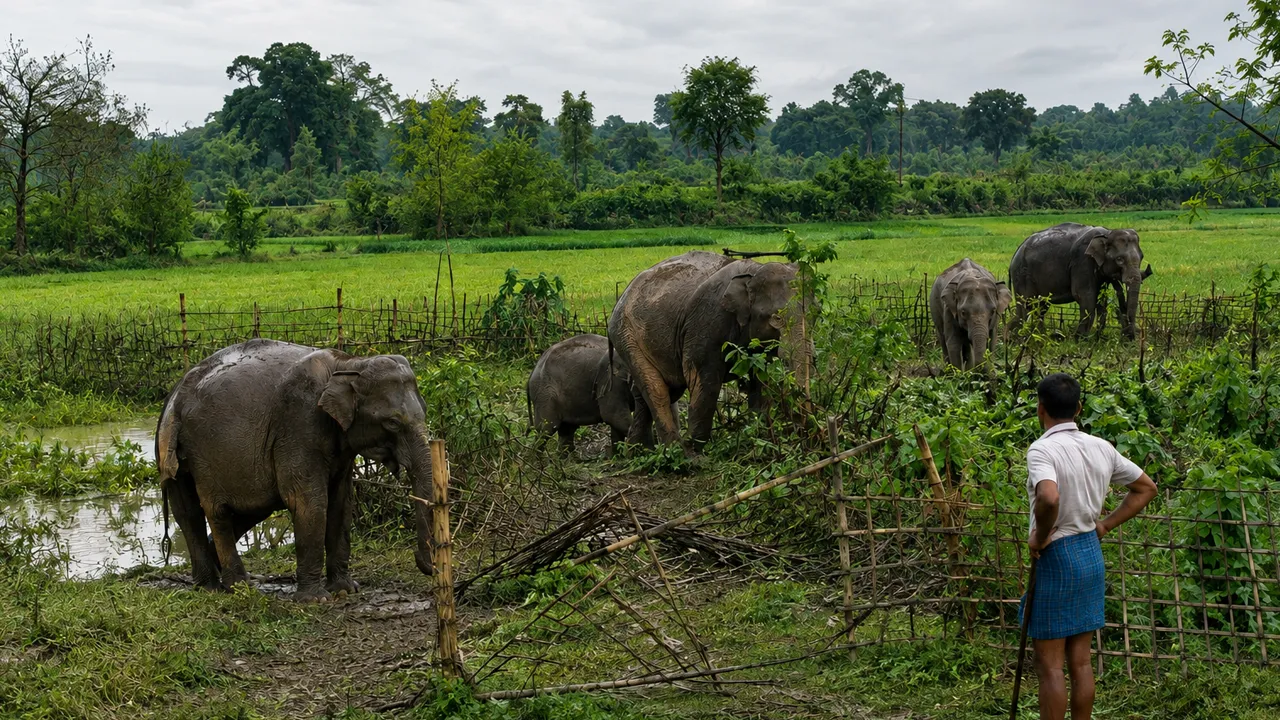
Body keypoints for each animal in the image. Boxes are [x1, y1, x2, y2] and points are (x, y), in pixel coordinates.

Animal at [155, 338, 434, 602]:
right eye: (393, 422)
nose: (422, 562)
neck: (349, 364)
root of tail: (174, 395)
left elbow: (341, 503)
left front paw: (346, 590)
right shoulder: (298, 423)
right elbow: (308, 502)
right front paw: (315, 600)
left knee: (205, 512)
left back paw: (209, 585)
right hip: (202, 451)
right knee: (217, 511)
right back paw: (236, 587)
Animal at [607, 250, 812, 449]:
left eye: (815, 313)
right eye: (777, 318)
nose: (803, 431)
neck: (755, 270)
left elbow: (760, 379)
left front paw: (759, 439)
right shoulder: (707, 321)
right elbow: (704, 379)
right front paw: (695, 449)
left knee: (654, 391)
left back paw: (638, 450)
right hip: (627, 336)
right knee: (658, 391)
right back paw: (677, 452)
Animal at [1009, 222, 1153, 339]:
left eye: (1142, 257)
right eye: (1119, 259)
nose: (1130, 337)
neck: (1108, 233)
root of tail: (1015, 255)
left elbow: (1101, 300)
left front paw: (1097, 337)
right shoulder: (1082, 262)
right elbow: (1085, 296)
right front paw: (1080, 339)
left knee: (1041, 307)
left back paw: (1038, 336)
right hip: (1022, 276)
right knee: (1026, 305)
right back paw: (1016, 338)